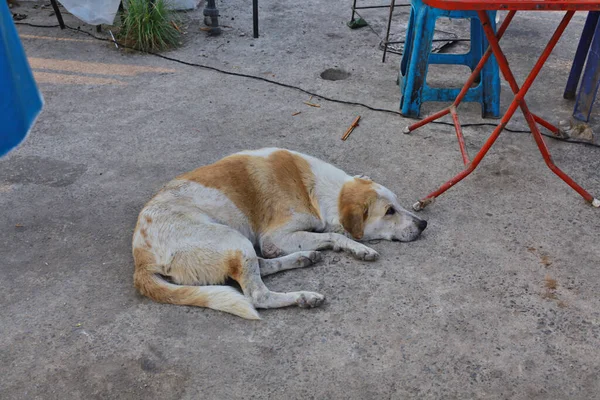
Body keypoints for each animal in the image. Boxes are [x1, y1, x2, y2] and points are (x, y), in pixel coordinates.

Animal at [134, 147, 426, 318]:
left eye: (398, 204)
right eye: (389, 211)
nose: (424, 224)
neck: (321, 189)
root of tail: (141, 258)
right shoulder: (274, 238)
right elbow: (335, 235)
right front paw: (359, 248)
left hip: (238, 245)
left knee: (261, 266)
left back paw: (303, 258)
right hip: (234, 240)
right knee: (257, 295)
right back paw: (304, 297)